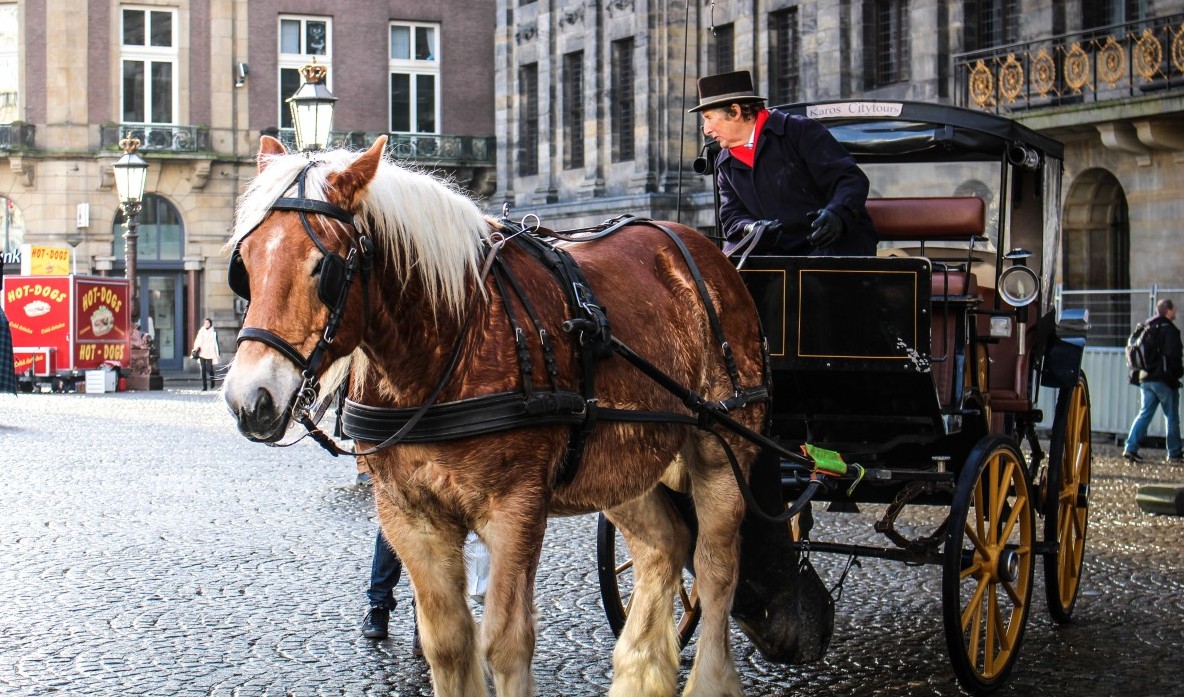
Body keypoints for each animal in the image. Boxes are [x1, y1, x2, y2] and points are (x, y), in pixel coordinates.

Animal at [217, 133, 819, 691]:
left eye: (325, 267)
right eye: (244, 264)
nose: (250, 399)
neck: (444, 346)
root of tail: (708, 253)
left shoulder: (516, 507)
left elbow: (505, 643)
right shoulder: (408, 515)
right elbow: (447, 643)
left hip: (723, 448)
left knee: (717, 571)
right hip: (625, 461)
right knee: (665, 548)